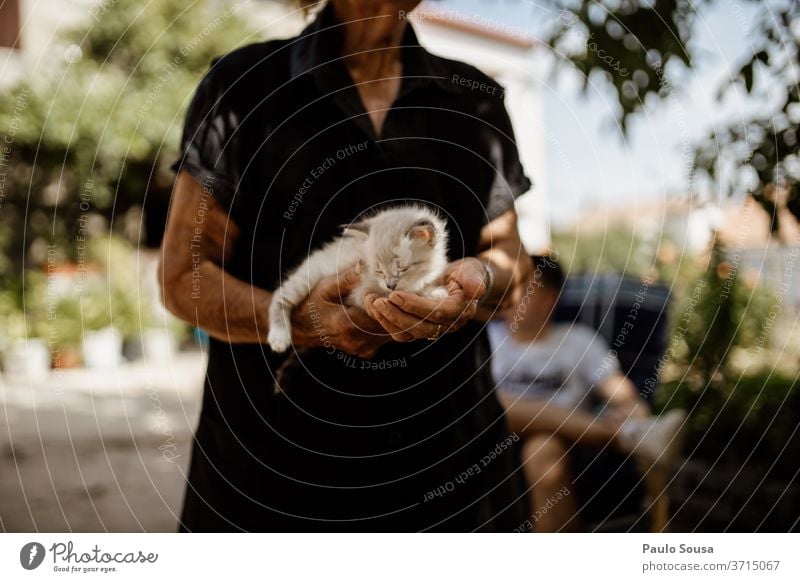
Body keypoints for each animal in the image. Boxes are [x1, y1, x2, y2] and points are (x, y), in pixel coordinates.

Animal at [268, 206, 450, 352]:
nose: (390, 286)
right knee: (279, 296)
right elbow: (377, 295)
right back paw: (279, 337)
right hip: (307, 278)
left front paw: (434, 292)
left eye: (402, 269)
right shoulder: (358, 291)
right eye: (378, 270)